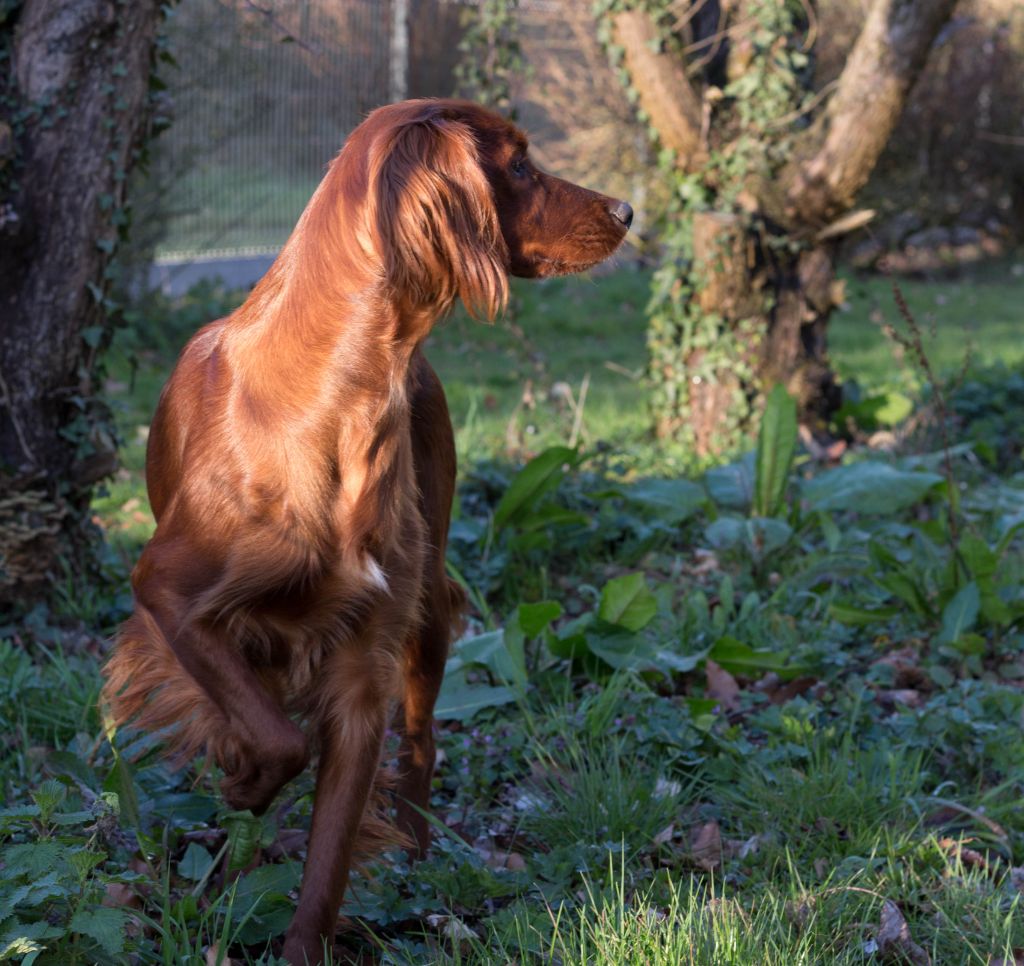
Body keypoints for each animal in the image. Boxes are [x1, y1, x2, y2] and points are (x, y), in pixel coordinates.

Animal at [103, 98, 630, 958]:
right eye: (518, 164)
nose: (626, 211)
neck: (337, 393)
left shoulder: (361, 670)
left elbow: (325, 860)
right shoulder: (169, 593)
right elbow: (273, 736)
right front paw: (241, 775)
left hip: (427, 603)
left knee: (422, 737)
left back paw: (416, 853)